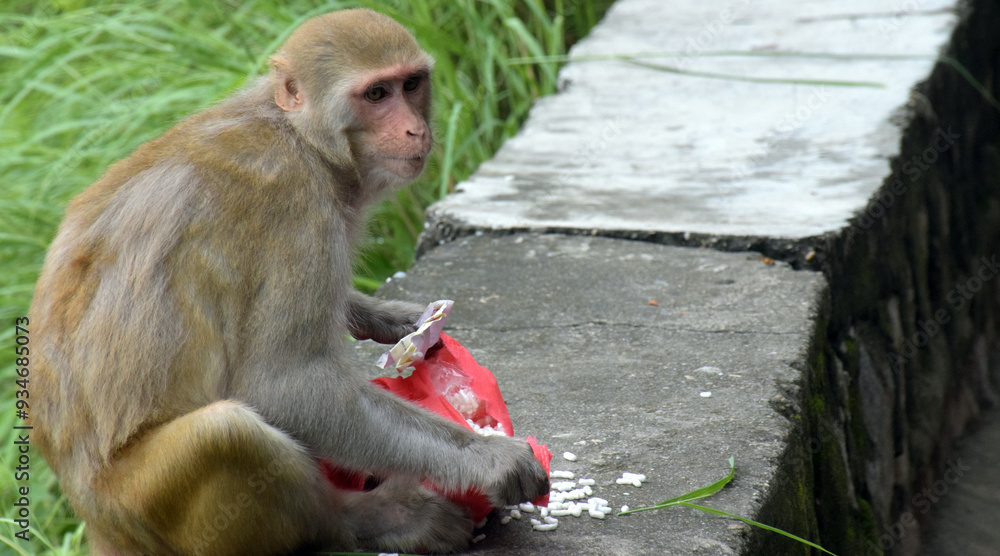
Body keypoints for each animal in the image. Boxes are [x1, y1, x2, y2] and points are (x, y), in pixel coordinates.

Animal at [28, 9, 548, 555]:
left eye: (410, 84)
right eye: (376, 94)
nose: (414, 129)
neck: (304, 138)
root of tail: (94, 518)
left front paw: (397, 321)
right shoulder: (298, 209)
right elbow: (285, 384)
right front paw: (489, 458)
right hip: (138, 504)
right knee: (226, 432)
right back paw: (366, 519)